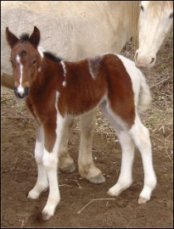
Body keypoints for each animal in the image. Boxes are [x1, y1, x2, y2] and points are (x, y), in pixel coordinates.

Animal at [1, 0, 173, 183]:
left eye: (171, 14)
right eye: (142, 7)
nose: (144, 59)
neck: (106, 13)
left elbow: (68, 122)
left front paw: (64, 160)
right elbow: (88, 126)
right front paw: (89, 169)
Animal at [6, 26, 157, 220]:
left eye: (33, 61)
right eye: (12, 61)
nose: (20, 91)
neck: (46, 82)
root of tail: (132, 66)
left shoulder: (53, 121)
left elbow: (49, 159)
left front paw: (50, 206)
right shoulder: (39, 122)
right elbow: (38, 155)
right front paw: (38, 189)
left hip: (124, 108)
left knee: (142, 136)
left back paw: (146, 191)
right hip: (110, 109)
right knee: (126, 141)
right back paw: (119, 187)